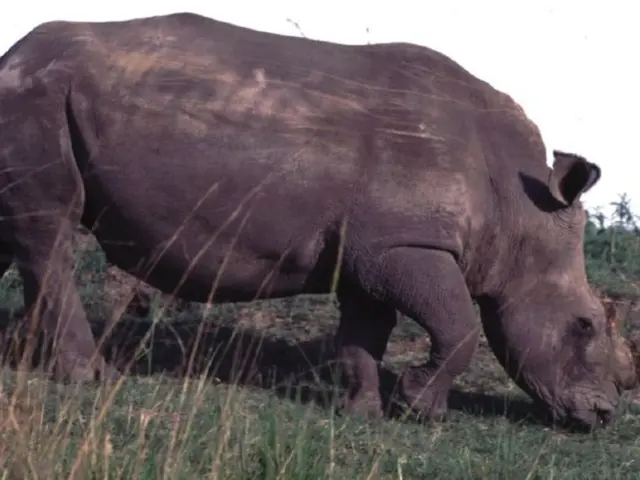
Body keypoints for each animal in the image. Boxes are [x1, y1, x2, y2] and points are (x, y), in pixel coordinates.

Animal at [0, 12, 637, 430]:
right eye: (583, 325)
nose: (602, 416)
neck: (520, 212)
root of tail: (13, 56)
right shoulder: (406, 244)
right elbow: (458, 326)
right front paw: (418, 412)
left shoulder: (372, 250)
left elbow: (364, 331)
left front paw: (364, 413)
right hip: (36, 96)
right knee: (51, 233)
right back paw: (91, 378)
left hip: (42, 95)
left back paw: (32, 361)